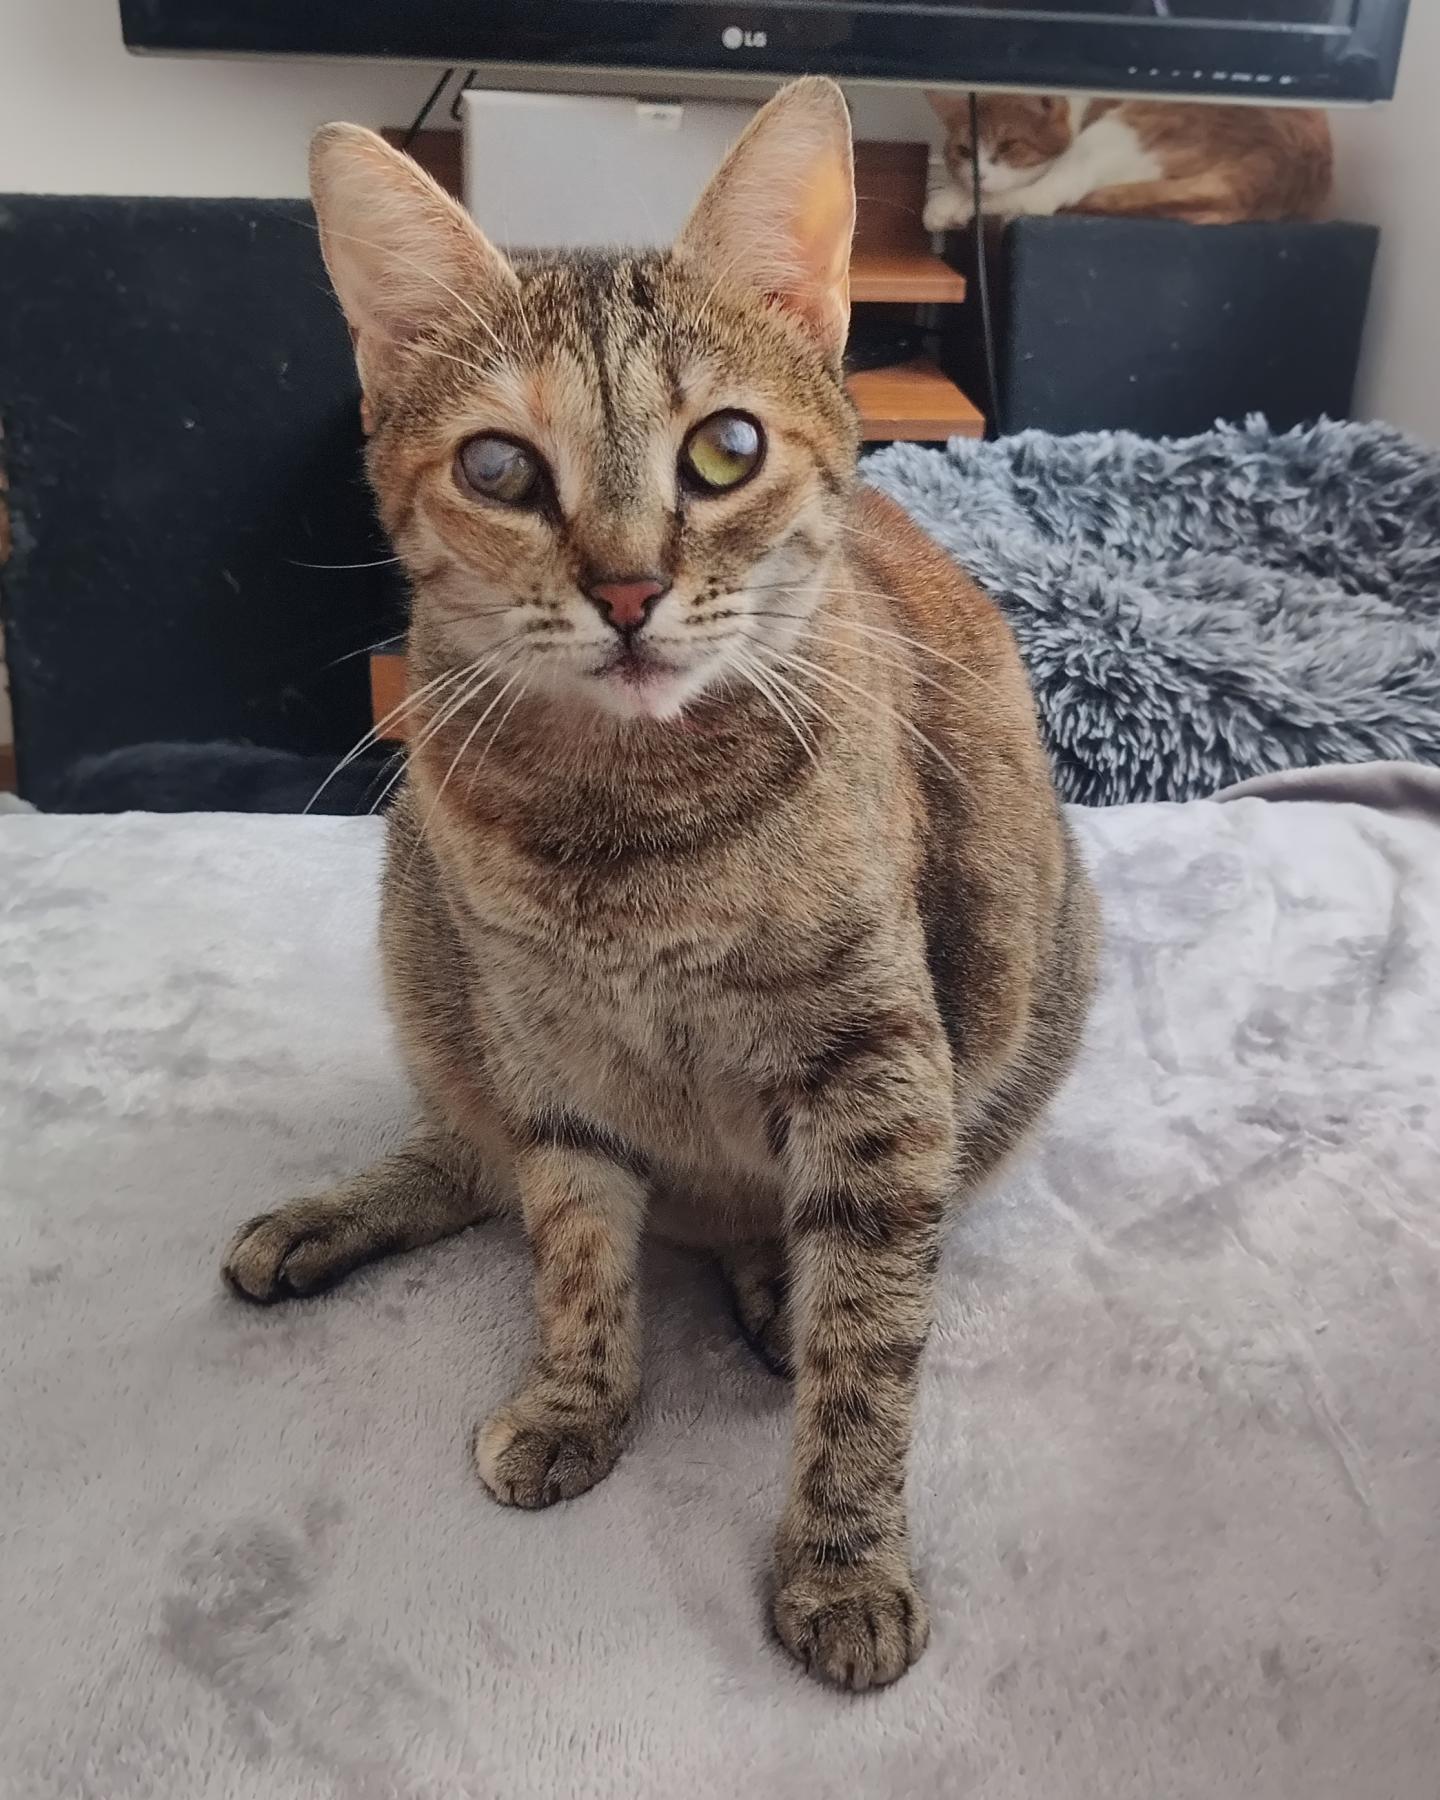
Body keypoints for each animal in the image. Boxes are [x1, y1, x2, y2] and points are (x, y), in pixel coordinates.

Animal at [221, 78, 1099, 1691]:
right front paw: (580, 1399)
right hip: (426, 959)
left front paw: (841, 1558)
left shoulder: (883, 1066)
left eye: (725, 449)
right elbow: (571, 1242)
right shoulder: (543, 1045)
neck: (630, 842)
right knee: (472, 1157)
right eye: (499, 468)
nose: (627, 588)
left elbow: (868, 1349)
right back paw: (323, 1223)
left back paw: (765, 1287)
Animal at [925, 92, 1332, 231]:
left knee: (1038, 200)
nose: (976, 175)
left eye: (1009, 146)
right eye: (963, 151)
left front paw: (948, 200)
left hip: (1115, 132)